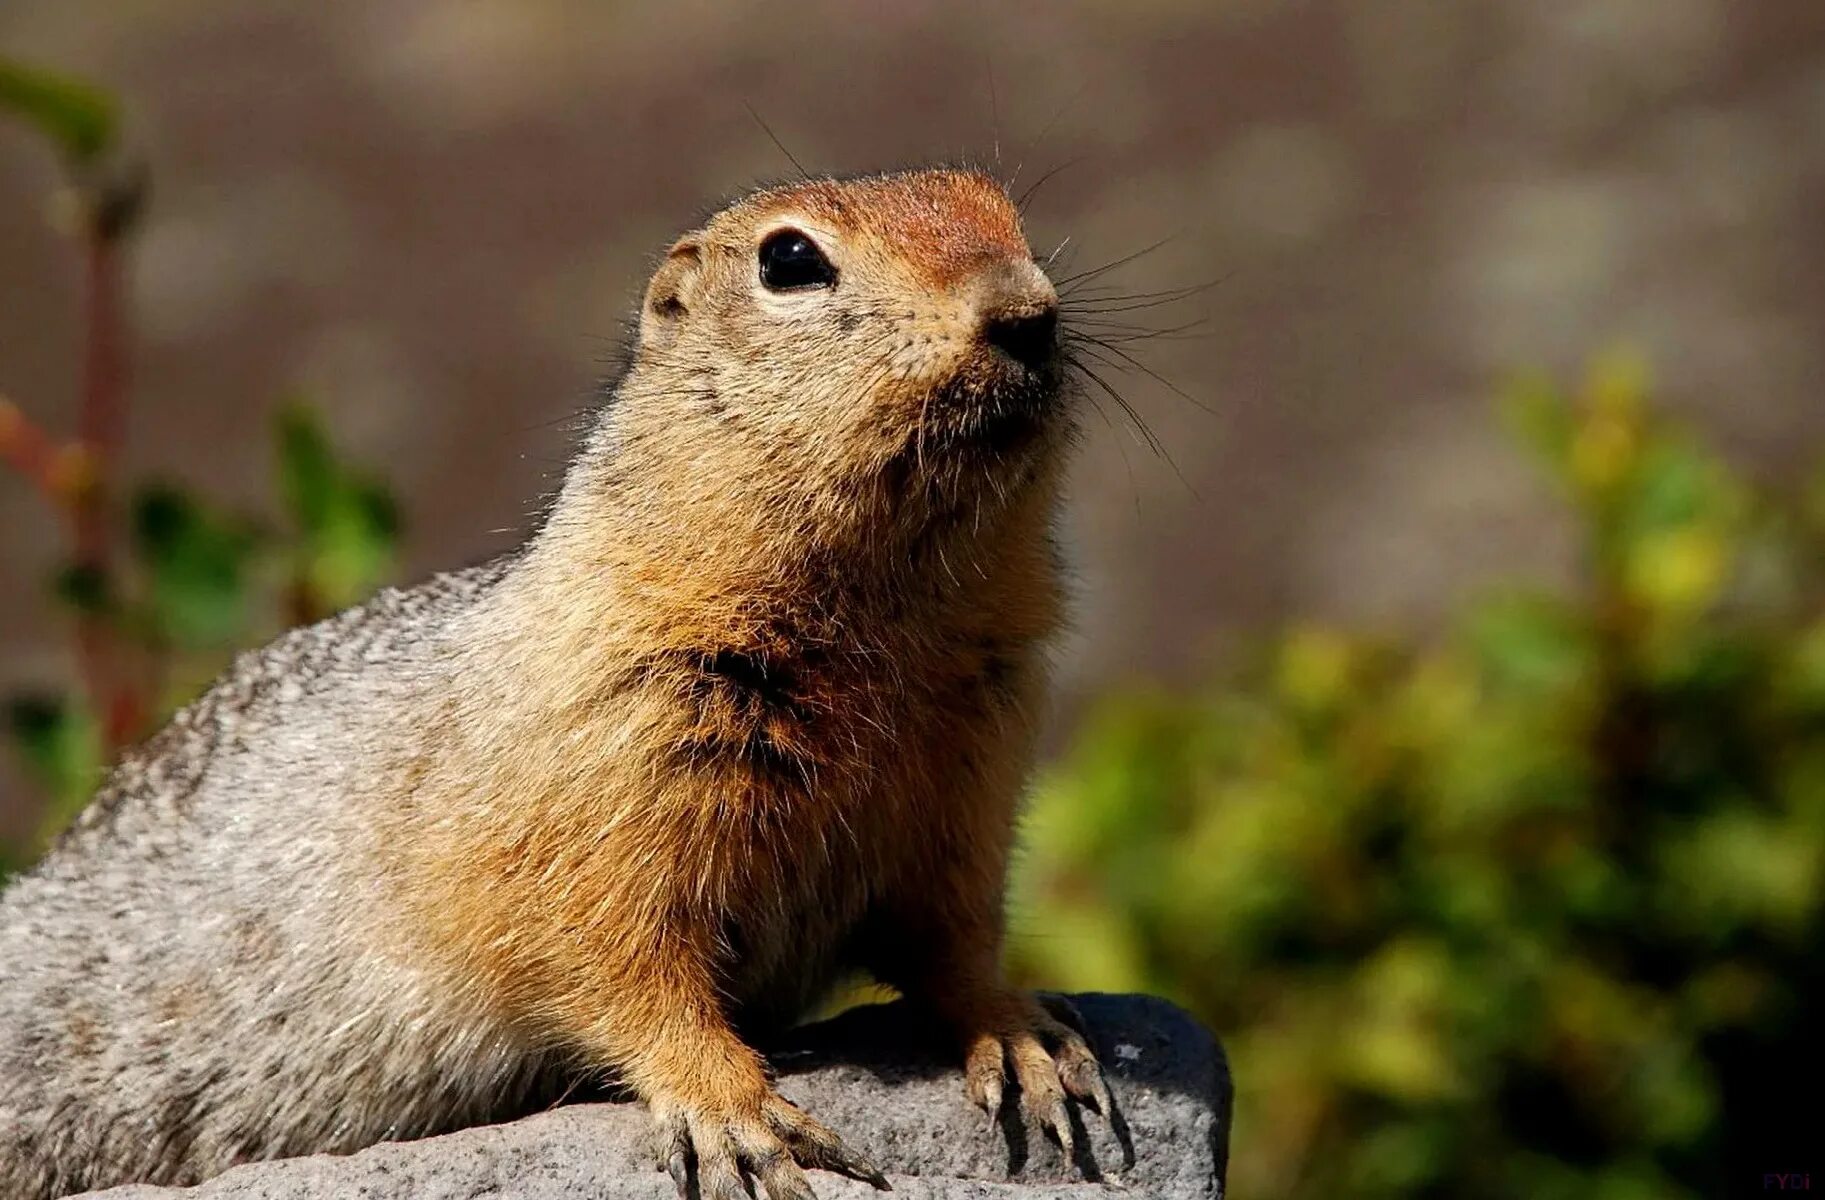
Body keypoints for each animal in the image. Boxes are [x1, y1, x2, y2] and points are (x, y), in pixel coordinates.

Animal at [0, 165, 1109, 1196]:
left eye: (1003, 209)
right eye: (790, 260)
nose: (1027, 311)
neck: (885, 616)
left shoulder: (978, 749)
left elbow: (952, 931)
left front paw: (1024, 1038)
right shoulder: (609, 749)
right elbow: (621, 959)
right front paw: (734, 1113)